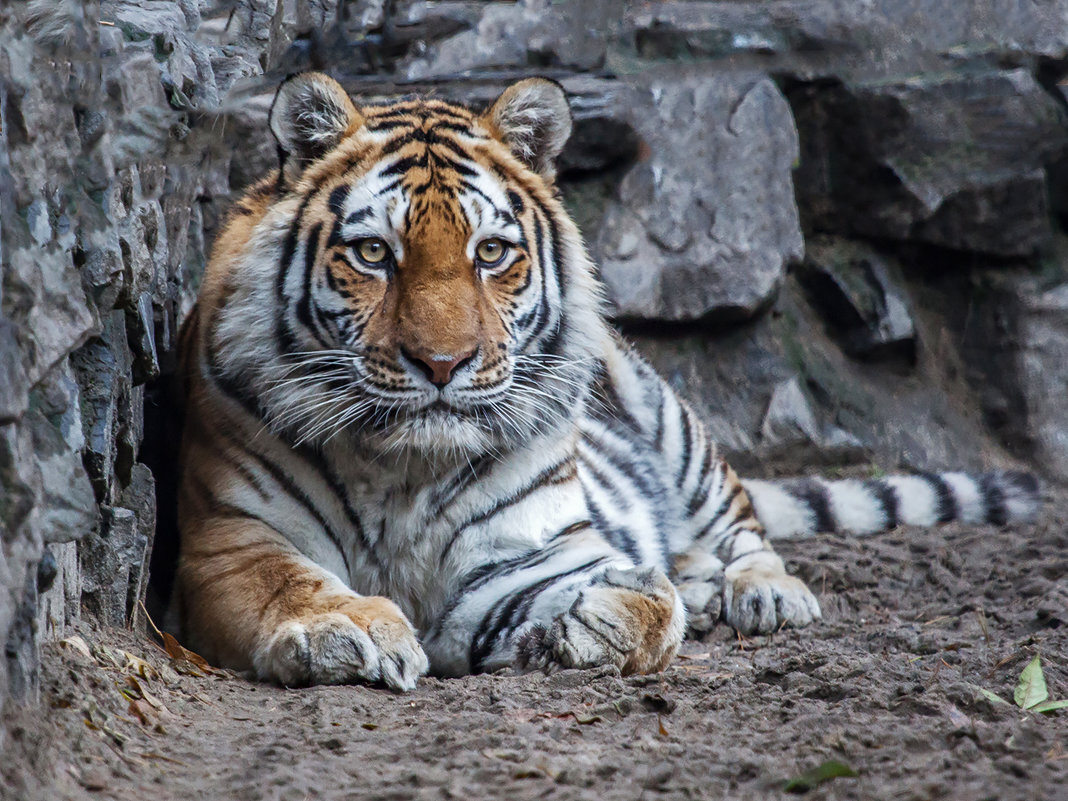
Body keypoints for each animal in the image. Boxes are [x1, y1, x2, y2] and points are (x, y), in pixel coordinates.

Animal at [173, 72, 1033, 692]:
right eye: (374, 254)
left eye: (491, 252)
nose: (443, 365)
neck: (402, 469)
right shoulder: (230, 538)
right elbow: (291, 583)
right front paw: (345, 628)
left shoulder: (531, 553)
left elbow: (649, 603)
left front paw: (590, 625)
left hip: (670, 421)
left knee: (743, 526)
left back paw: (762, 593)